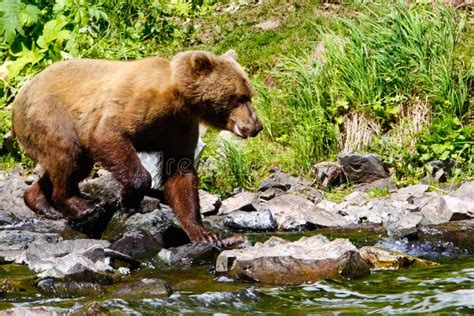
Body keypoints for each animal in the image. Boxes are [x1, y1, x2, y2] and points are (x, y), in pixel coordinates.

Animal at [11, 50, 262, 242]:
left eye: (249, 94)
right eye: (239, 97)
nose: (256, 126)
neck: (179, 99)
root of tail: (19, 96)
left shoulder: (179, 127)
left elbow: (180, 173)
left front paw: (203, 233)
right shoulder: (136, 104)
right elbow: (107, 135)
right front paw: (128, 198)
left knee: (70, 164)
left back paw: (41, 202)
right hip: (50, 115)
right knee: (69, 154)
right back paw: (81, 205)